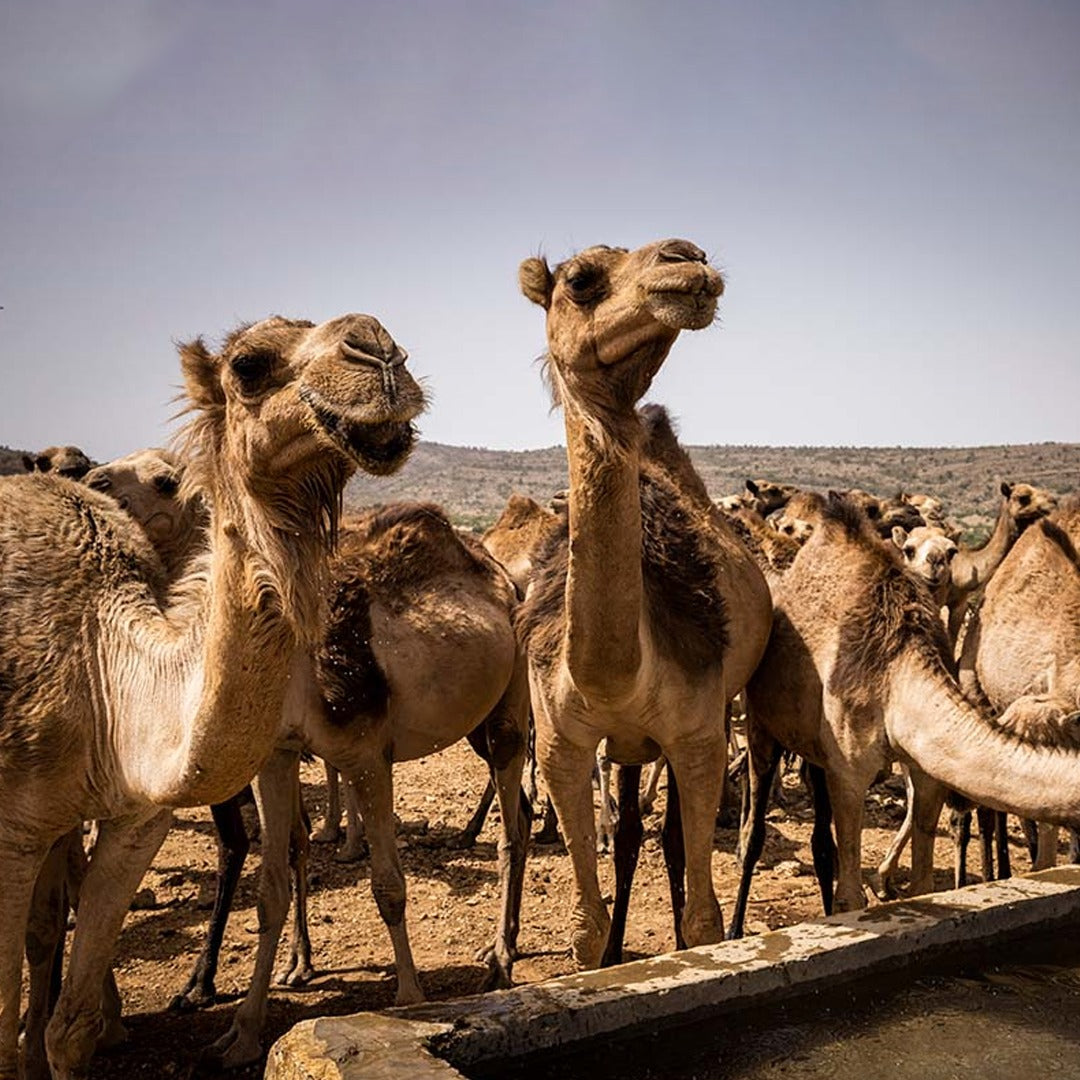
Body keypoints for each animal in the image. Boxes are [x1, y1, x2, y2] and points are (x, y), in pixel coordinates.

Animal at [0, 312, 424, 1080]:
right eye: (248, 365)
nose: (379, 349)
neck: (103, 672)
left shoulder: (138, 820)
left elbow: (69, 1026)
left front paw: (94, 1031)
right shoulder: (13, 833)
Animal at [516, 238, 772, 966]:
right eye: (580, 279)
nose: (686, 258)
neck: (617, 672)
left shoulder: (698, 733)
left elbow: (704, 920)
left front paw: (693, 943)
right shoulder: (560, 743)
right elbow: (584, 926)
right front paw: (601, 955)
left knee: (672, 836)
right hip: (627, 746)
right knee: (631, 831)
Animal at [729, 492, 1080, 938]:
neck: (897, 670)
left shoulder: (928, 769)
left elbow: (923, 884)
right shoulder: (848, 770)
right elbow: (850, 896)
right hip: (761, 721)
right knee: (753, 829)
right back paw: (733, 928)